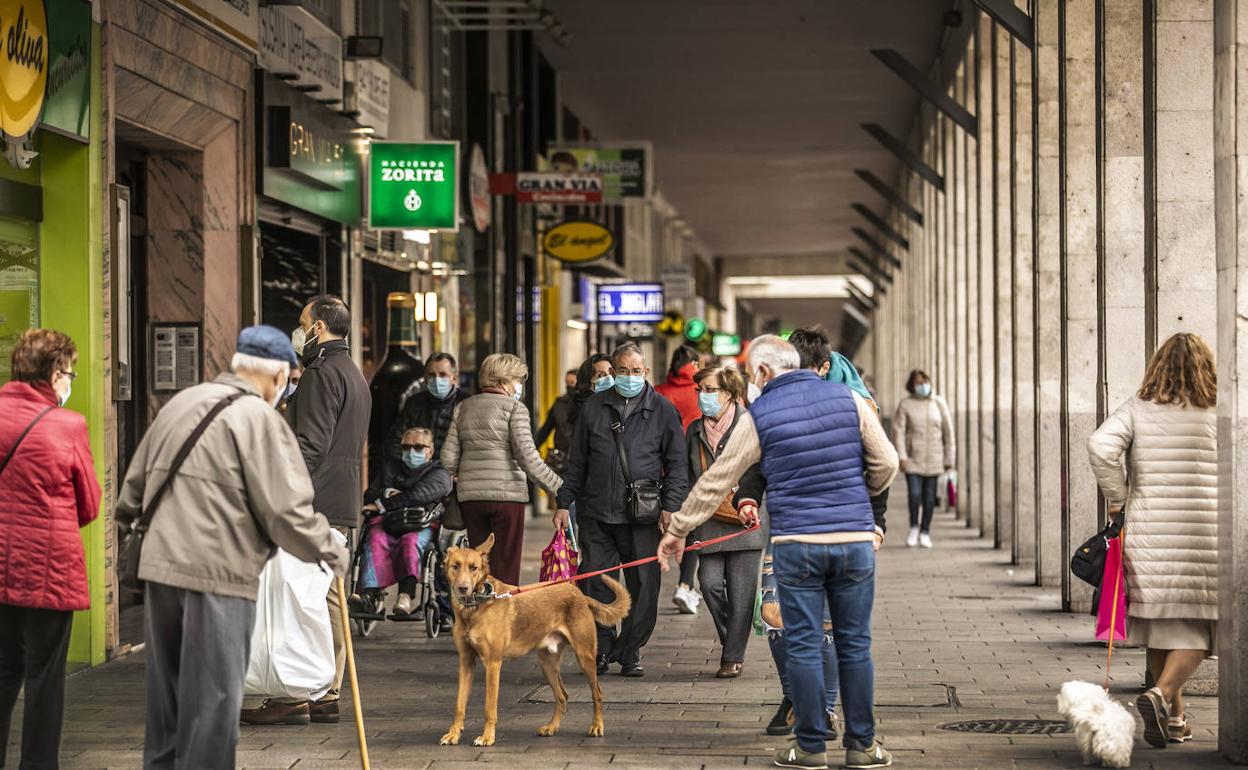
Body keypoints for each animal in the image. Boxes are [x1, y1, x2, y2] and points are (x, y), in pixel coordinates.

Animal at [441, 531, 633, 743]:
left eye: (473, 568)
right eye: (455, 566)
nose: (463, 588)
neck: (475, 607)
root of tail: (580, 594)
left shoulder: (492, 663)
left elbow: (489, 708)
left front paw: (487, 737)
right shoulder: (466, 662)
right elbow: (459, 705)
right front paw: (453, 734)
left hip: (585, 657)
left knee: (596, 693)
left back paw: (597, 726)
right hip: (547, 663)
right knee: (562, 696)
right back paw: (551, 727)